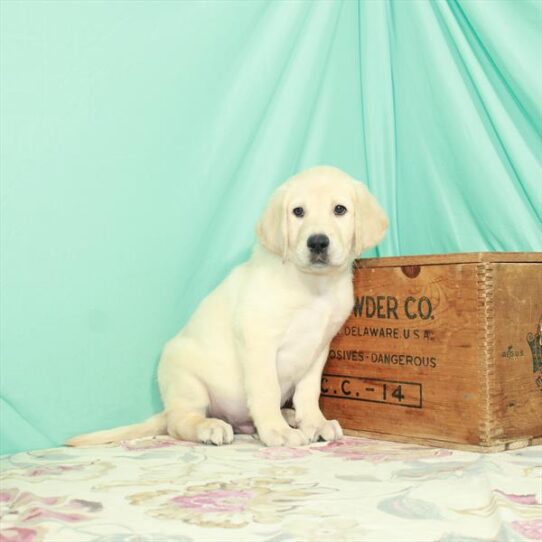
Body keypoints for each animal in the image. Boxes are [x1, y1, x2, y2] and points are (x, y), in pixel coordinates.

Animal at [68, 166, 388, 450]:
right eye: (298, 212)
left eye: (340, 210)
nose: (318, 242)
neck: (314, 286)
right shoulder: (258, 337)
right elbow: (266, 388)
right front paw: (276, 431)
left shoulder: (319, 347)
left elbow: (309, 392)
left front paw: (313, 422)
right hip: (185, 379)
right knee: (179, 422)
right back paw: (212, 426)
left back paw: (288, 415)